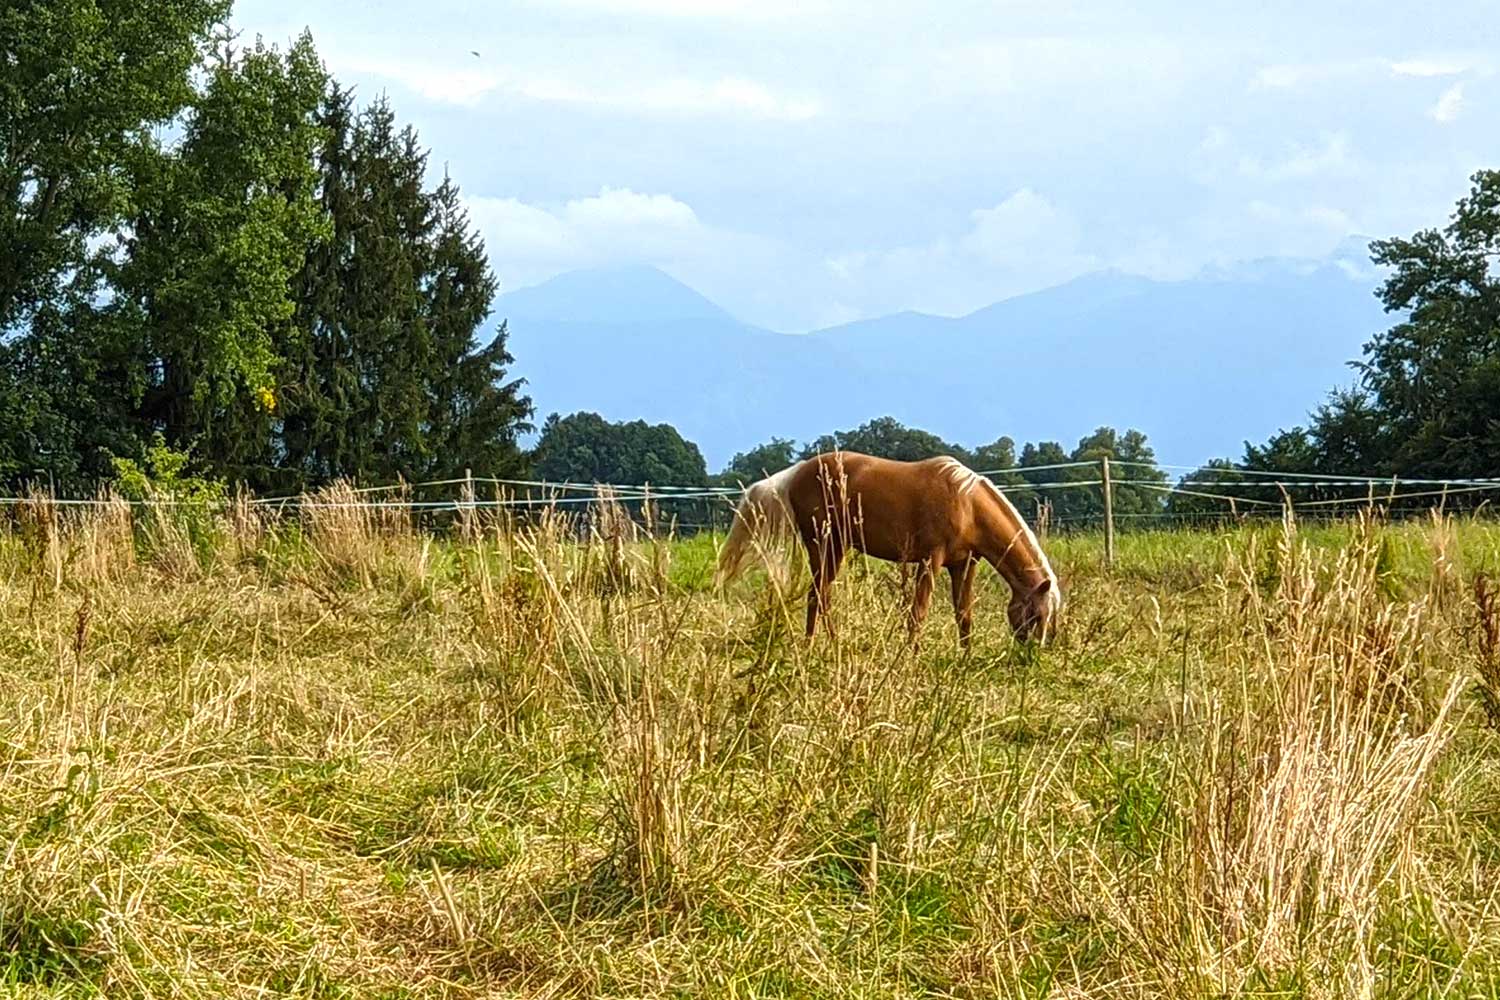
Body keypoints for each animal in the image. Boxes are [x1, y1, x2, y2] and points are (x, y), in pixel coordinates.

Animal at [716, 452, 1062, 645]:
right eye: (1036, 615)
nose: (1032, 655)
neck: (967, 504)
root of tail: (795, 472)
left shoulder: (964, 564)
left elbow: (963, 614)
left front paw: (964, 658)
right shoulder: (930, 561)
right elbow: (918, 613)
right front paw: (912, 655)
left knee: (820, 595)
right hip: (825, 547)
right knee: (818, 596)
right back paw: (819, 645)